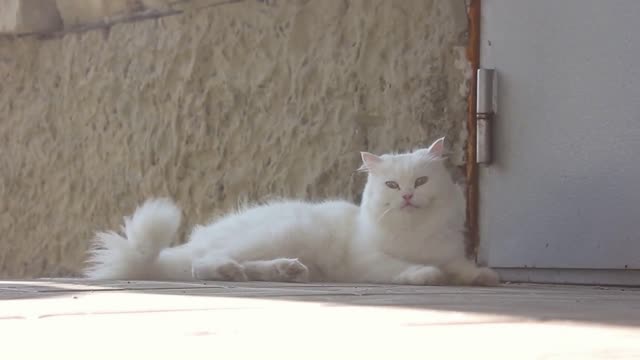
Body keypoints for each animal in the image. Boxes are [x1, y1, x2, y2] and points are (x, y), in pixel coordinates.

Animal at [85, 138, 500, 286]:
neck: (416, 233)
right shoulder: (369, 260)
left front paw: (482, 276)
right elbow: (407, 268)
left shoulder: (450, 252)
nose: (409, 196)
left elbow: (462, 267)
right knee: (200, 264)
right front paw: (427, 274)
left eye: (422, 181)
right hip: (282, 232)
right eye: (392, 186)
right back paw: (229, 271)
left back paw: (284, 271)